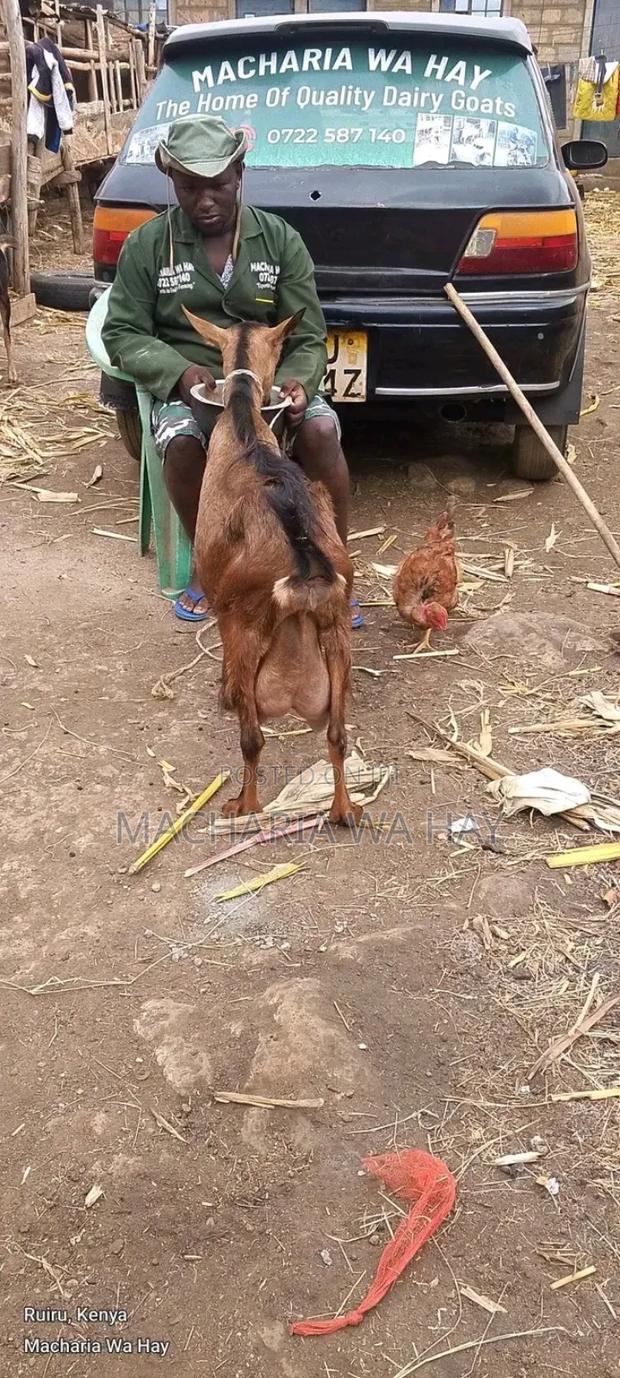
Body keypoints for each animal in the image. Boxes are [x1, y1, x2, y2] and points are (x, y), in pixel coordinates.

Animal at [183, 306, 361, 827]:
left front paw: (222, 692)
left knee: (253, 738)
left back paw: (244, 805)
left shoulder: (225, 606)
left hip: (248, 632)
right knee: (337, 736)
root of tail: (303, 570)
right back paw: (343, 809)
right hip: (336, 636)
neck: (244, 425)